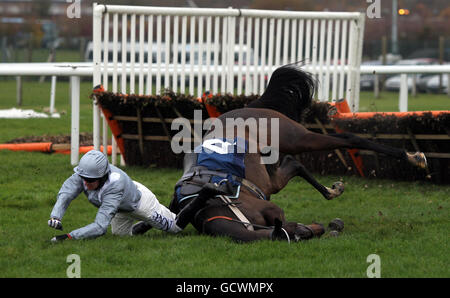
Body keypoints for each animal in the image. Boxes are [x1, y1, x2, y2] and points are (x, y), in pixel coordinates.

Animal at [166, 63, 428, 242]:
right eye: (300, 234)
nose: (329, 227)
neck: (219, 207)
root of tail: (251, 106)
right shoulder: (269, 186)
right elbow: (293, 167)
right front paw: (331, 197)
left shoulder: (270, 206)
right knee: (297, 160)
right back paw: (333, 190)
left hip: (295, 136)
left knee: (347, 138)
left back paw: (414, 157)